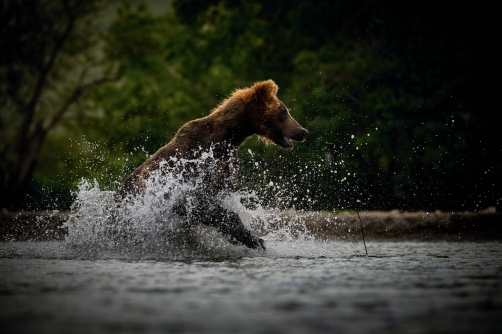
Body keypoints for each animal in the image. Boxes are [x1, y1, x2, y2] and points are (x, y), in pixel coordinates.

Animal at [118, 79, 306, 249]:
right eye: (284, 111)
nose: (303, 131)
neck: (227, 137)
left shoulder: (228, 164)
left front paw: (248, 237)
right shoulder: (193, 162)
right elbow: (191, 202)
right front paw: (253, 239)